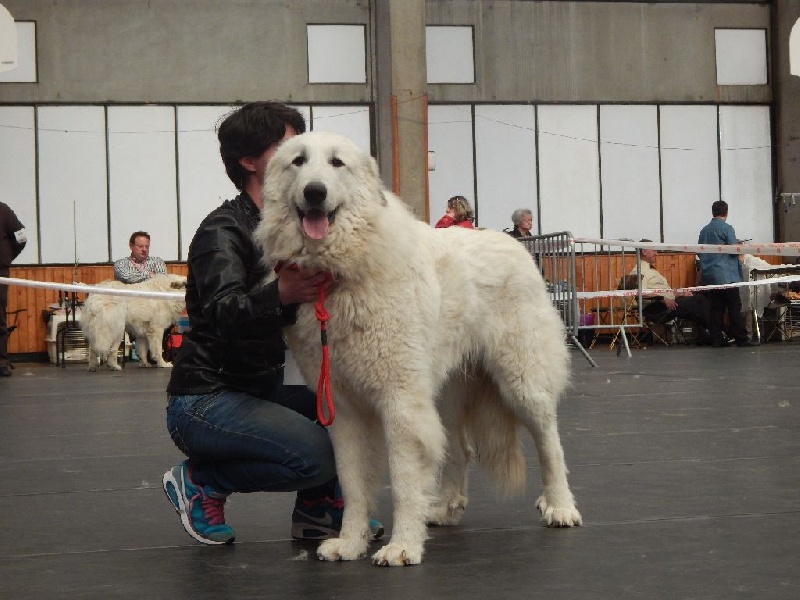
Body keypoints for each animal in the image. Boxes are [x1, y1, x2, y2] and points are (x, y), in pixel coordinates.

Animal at [255, 131, 582, 566]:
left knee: (549, 442)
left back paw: (560, 506)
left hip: (521, 381)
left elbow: (404, 478)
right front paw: (351, 542)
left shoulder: (400, 400)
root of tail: (517, 246)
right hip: (443, 389)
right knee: (459, 447)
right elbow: (354, 484)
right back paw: (444, 507)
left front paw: (403, 546)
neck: (338, 272)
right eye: (298, 161)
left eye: (337, 163)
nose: (314, 191)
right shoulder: (344, 409)